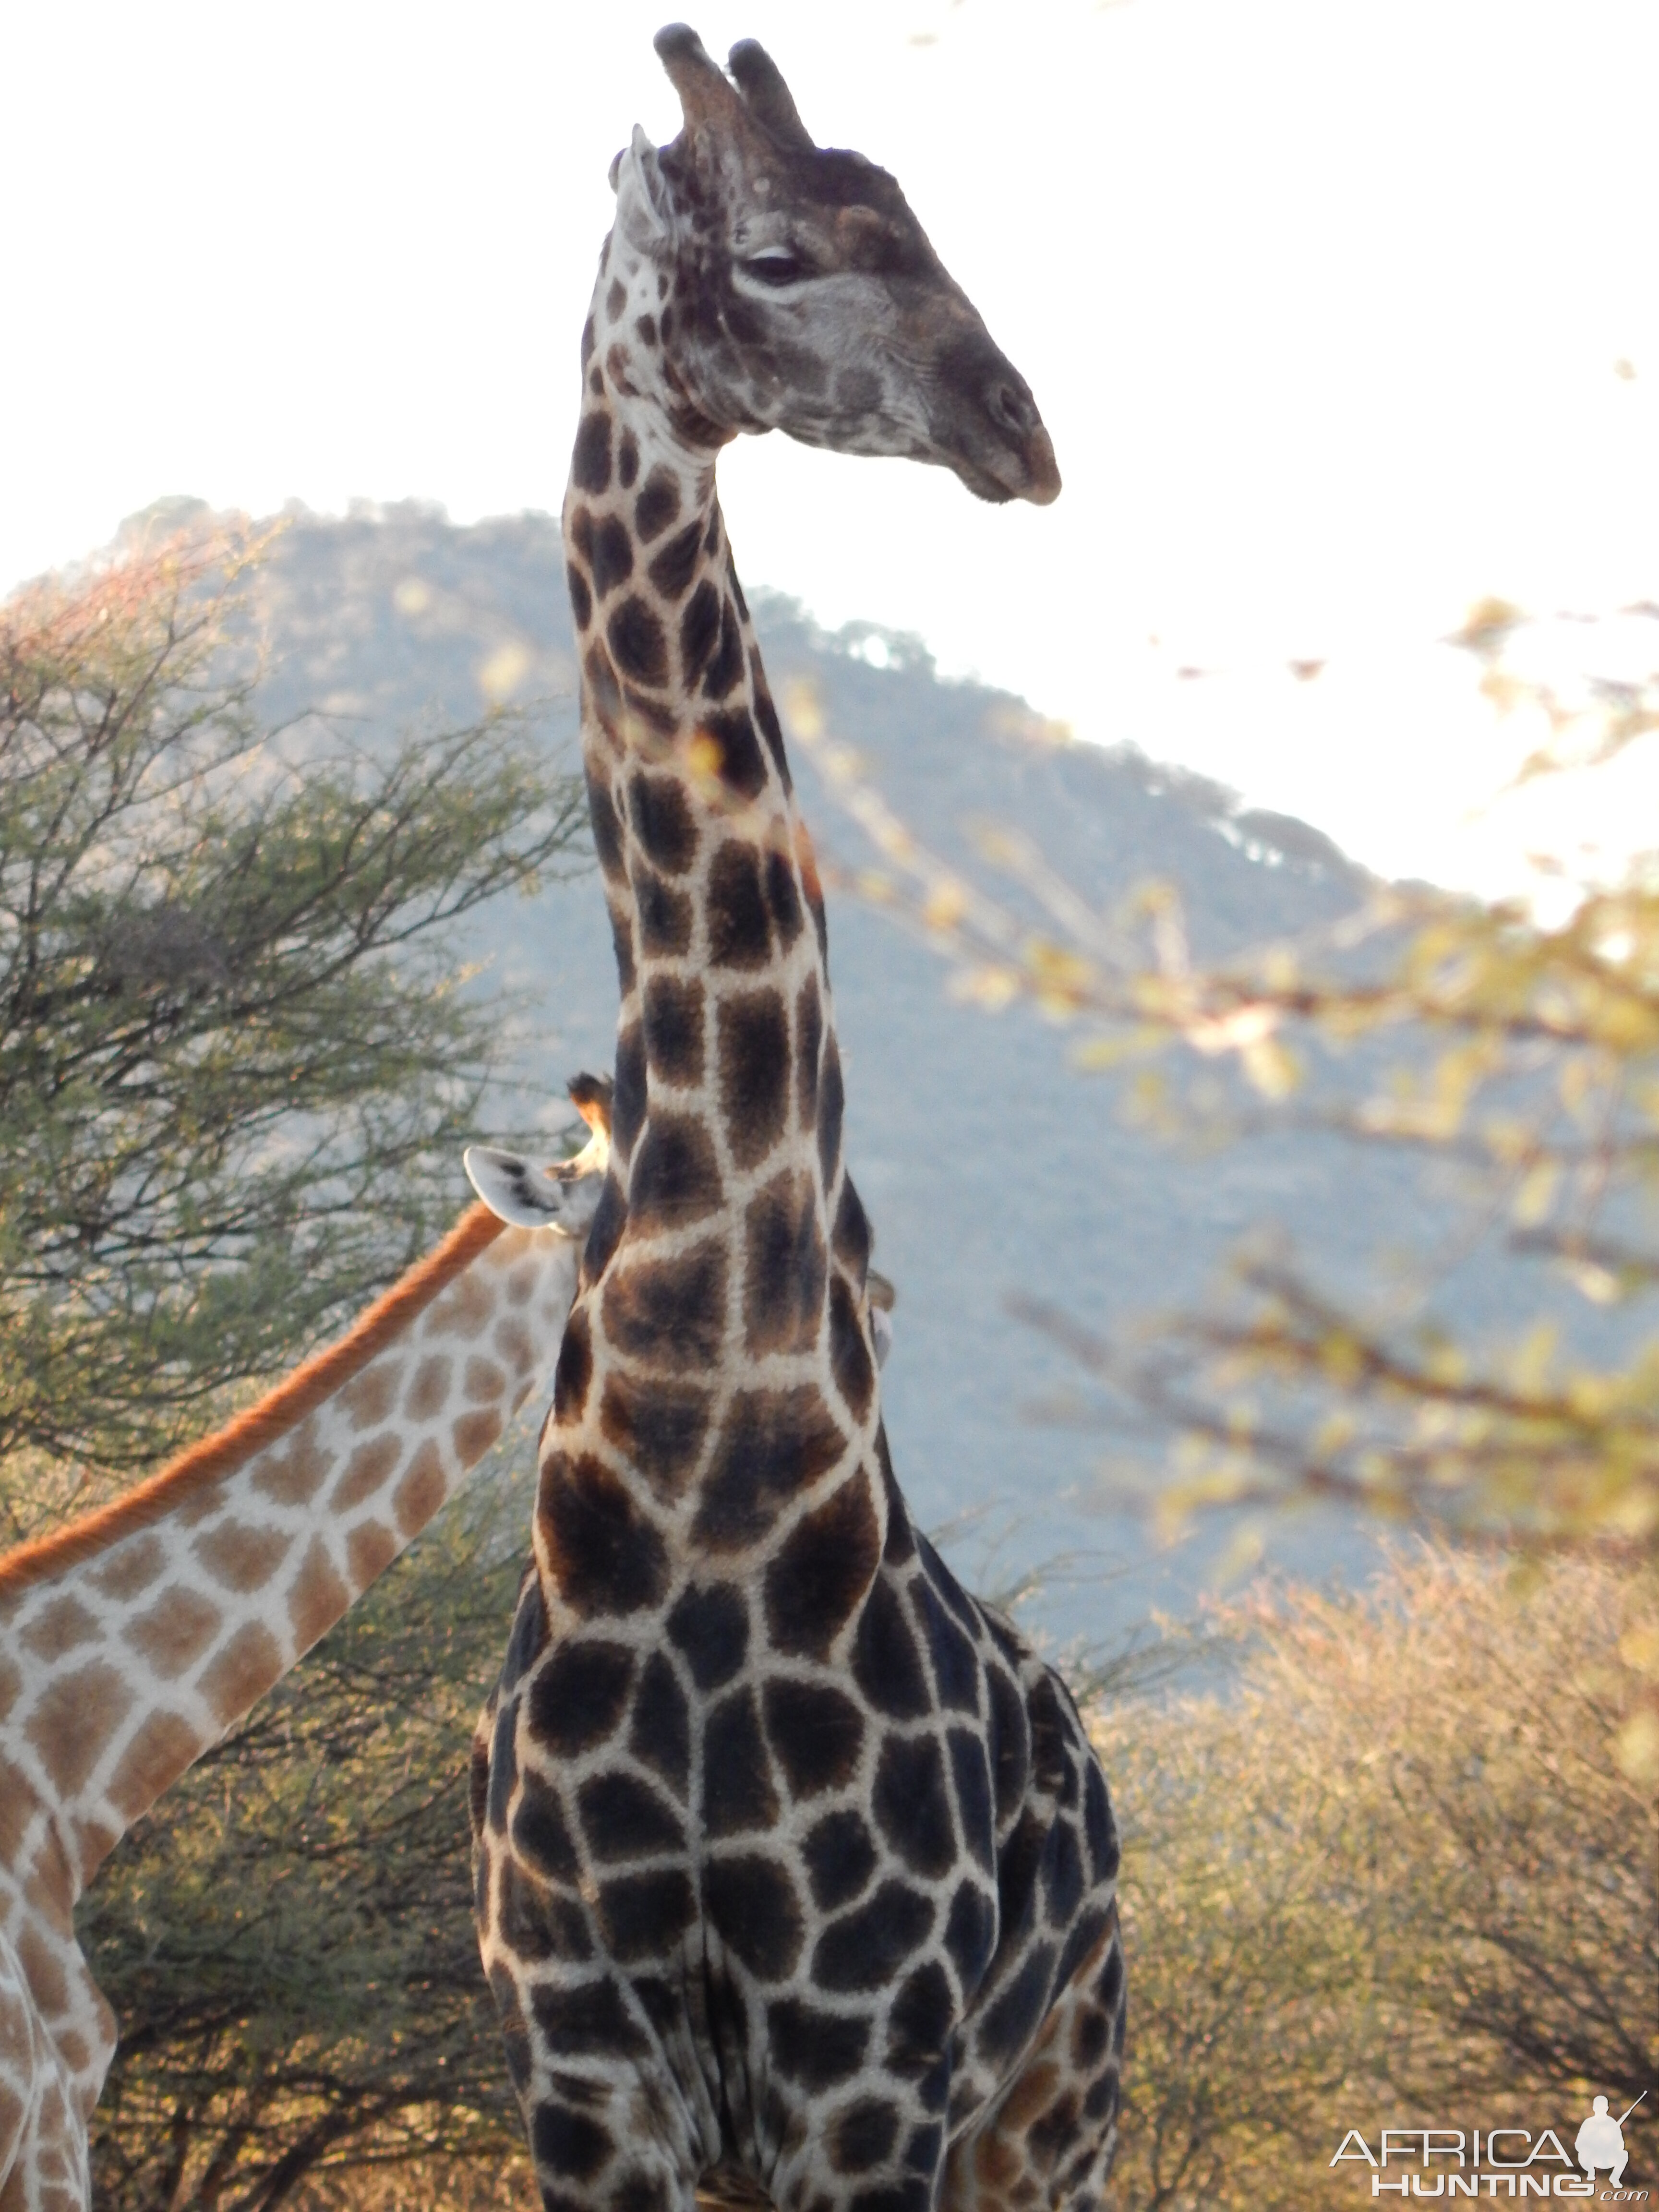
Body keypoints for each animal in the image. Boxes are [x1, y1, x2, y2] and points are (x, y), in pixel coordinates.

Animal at [473, 30, 1141, 2212]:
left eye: (916, 213)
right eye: (774, 253)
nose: (1019, 429)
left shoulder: (868, 2063)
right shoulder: (581, 2064)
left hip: (1056, 2103)